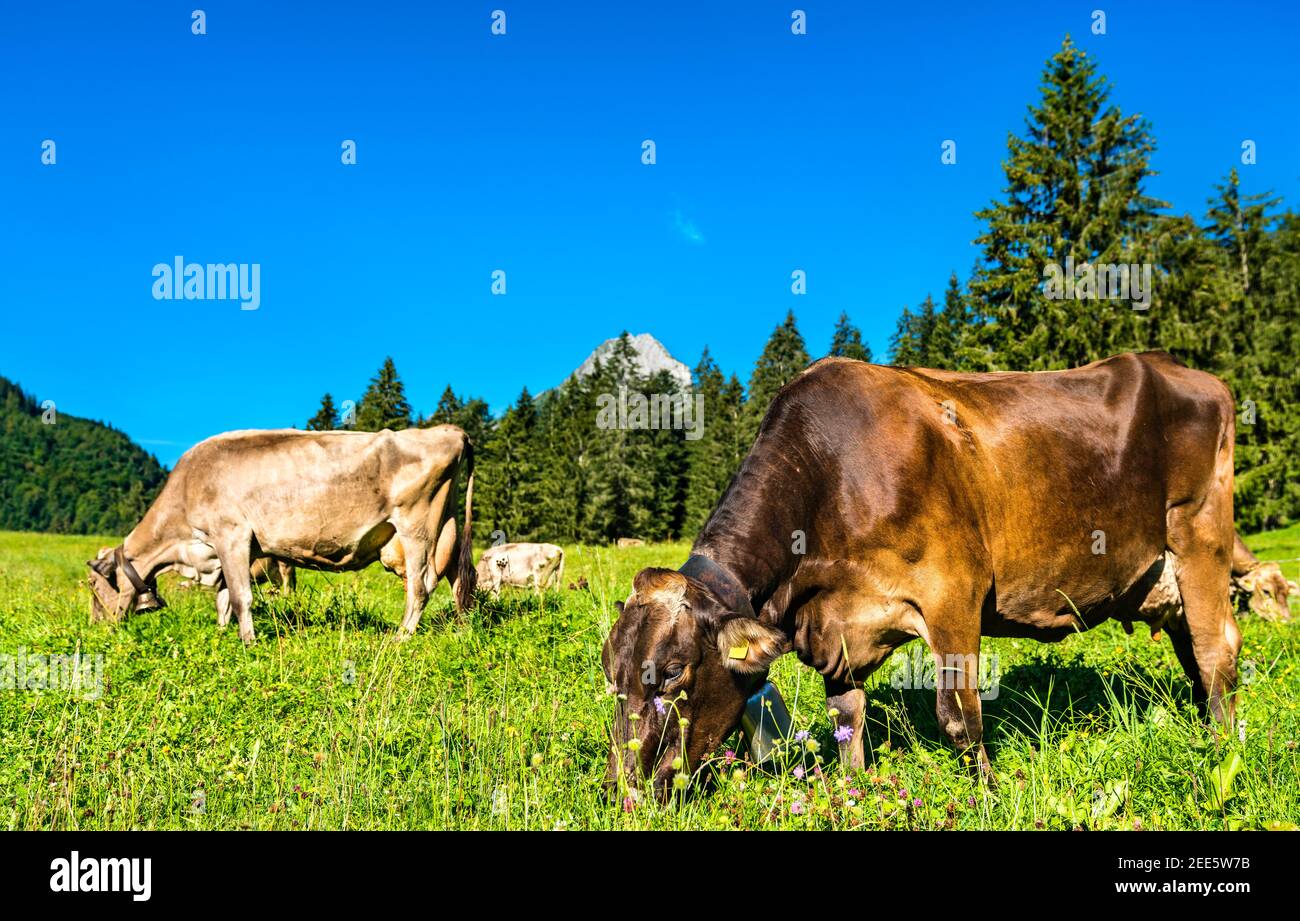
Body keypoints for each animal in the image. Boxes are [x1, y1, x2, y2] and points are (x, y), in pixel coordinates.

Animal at [86, 426, 475, 644]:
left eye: (93, 586)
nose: (96, 625)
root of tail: (448, 430)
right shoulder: (231, 549)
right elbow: (223, 598)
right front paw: (222, 634)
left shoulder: (231, 535)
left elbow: (240, 597)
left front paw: (249, 642)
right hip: (448, 528)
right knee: (459, 580)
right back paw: (462, 628)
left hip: (416, 526)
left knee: (421, 586)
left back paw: (401, 637)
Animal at [602, 352, 1242, 797]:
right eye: (613, 677)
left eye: (675, 675)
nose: (620, 791)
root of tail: (1181, 368)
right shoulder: (836, 632)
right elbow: (847, 721)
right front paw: (854, 794)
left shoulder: (953, 593)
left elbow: (959, 720)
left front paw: (987, 799)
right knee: (1195, 653)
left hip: (1199, 537)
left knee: (1217, 651)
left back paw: (1222, 749)